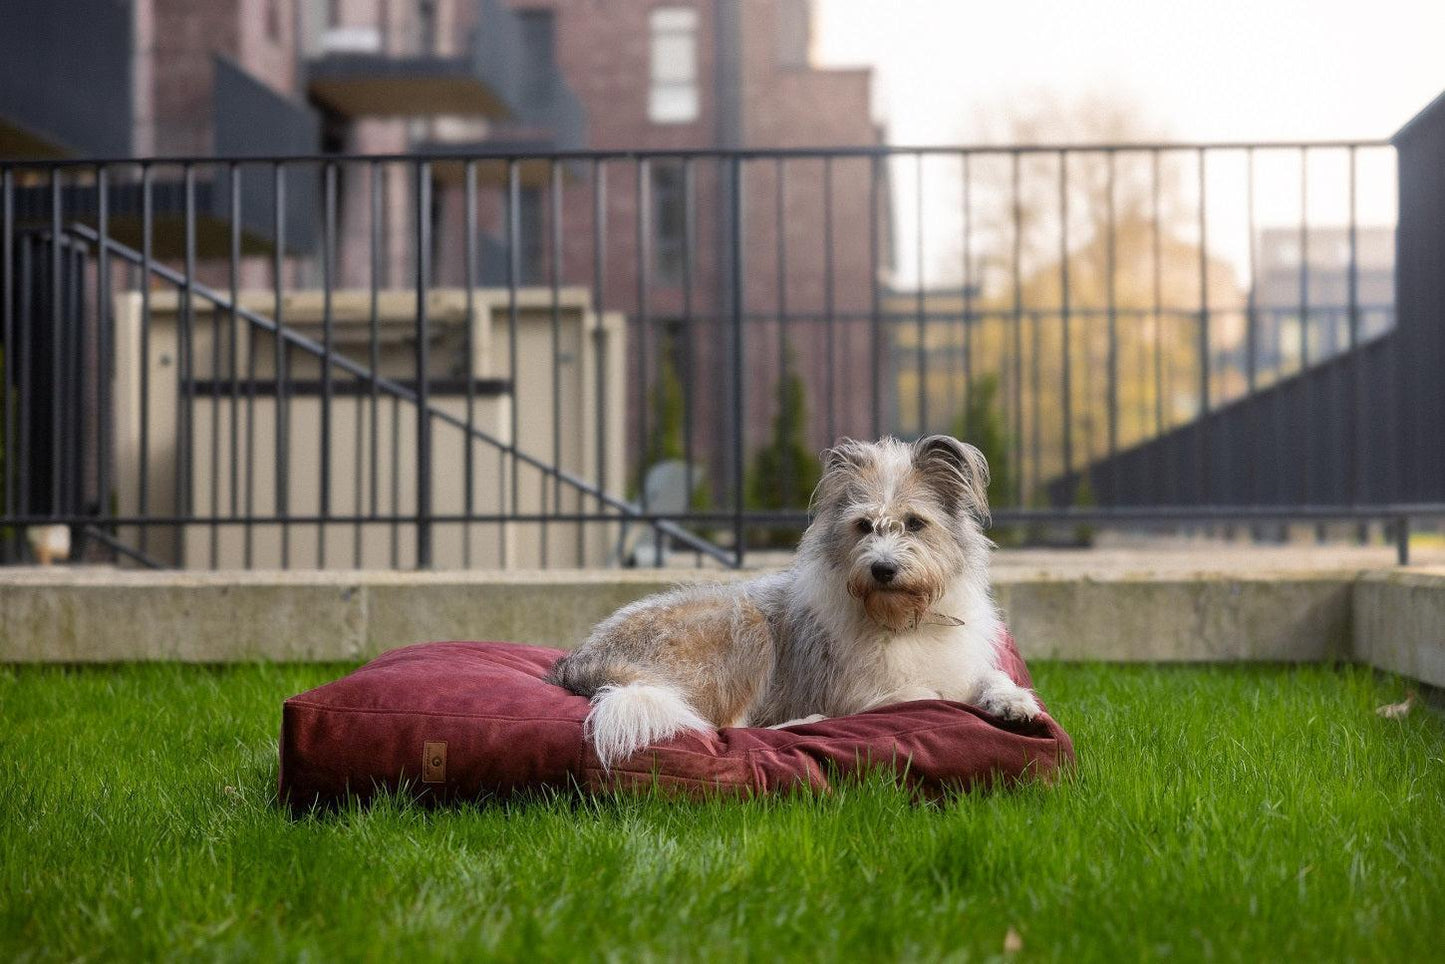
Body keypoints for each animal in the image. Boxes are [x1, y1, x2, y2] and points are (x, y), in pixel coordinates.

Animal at [549, 436, 1040, 768]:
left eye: (915, 522)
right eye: (864, 526)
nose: (882, 569)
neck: (904, 618)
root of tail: (580, 660)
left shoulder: (961, 663)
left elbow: (987, 678)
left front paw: (1014, 701)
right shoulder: (859, 693)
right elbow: (923, 696)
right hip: (744, 629)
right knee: (726, 727)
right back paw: (808, 721)